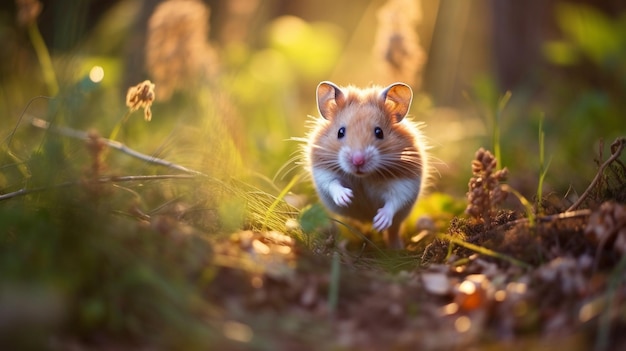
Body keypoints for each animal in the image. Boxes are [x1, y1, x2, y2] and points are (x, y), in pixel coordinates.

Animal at [302, 81, 426, 249]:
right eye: (340, 132)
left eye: (379, 132)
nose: (358, 161)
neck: (363, 177)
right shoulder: (323, 172)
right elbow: (332, 184)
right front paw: (346, 197)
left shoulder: (406, 183)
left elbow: (394, 200)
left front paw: (379, 222)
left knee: (393, 230)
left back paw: (396, 248)